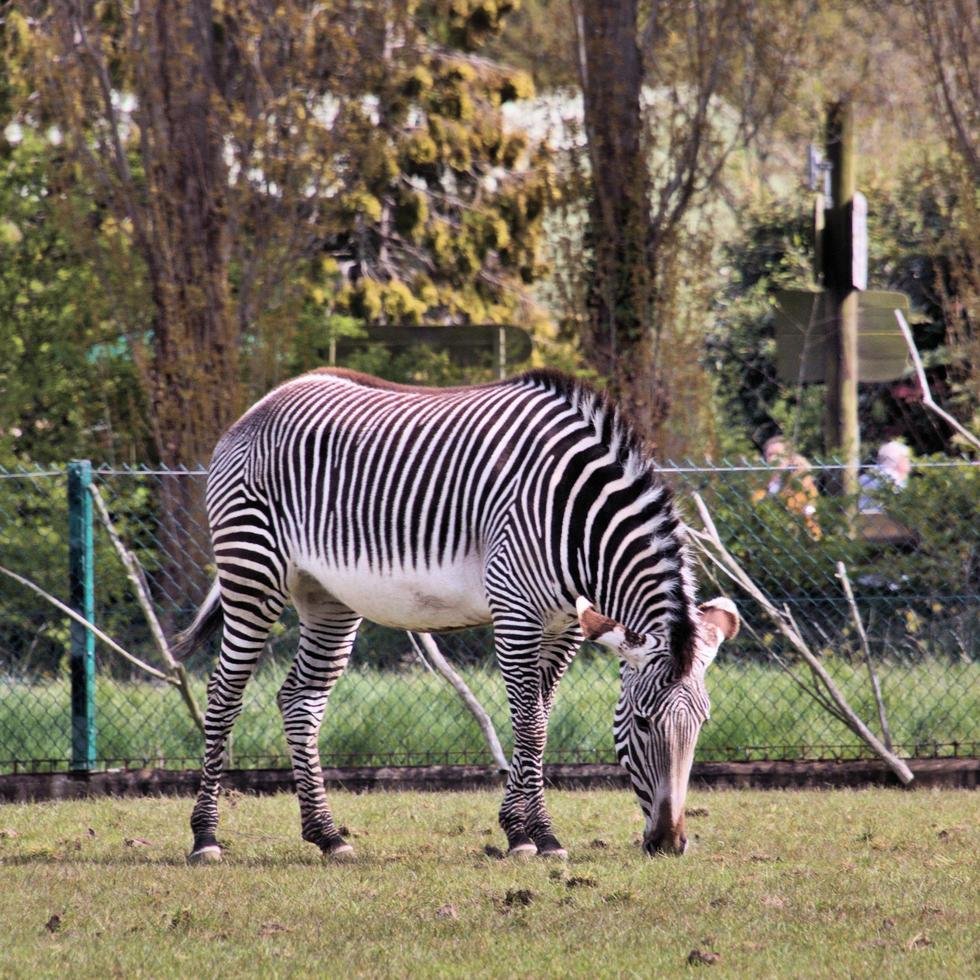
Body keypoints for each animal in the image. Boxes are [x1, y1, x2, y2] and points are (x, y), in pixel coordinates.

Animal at [176, 370, 740, 864]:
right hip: (251, 570)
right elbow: (531, 724)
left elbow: (540, 718)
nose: (669, 844)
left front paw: (526, 832)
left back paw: (328, 837)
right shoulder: (516, 611)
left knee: (300, 700)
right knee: (223, 695)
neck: (577, 519)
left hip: (326, 596)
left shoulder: (564, 627)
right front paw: (534, 837)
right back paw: (206, 838)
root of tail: (265, 400)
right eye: (642, 723)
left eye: (704, 723)